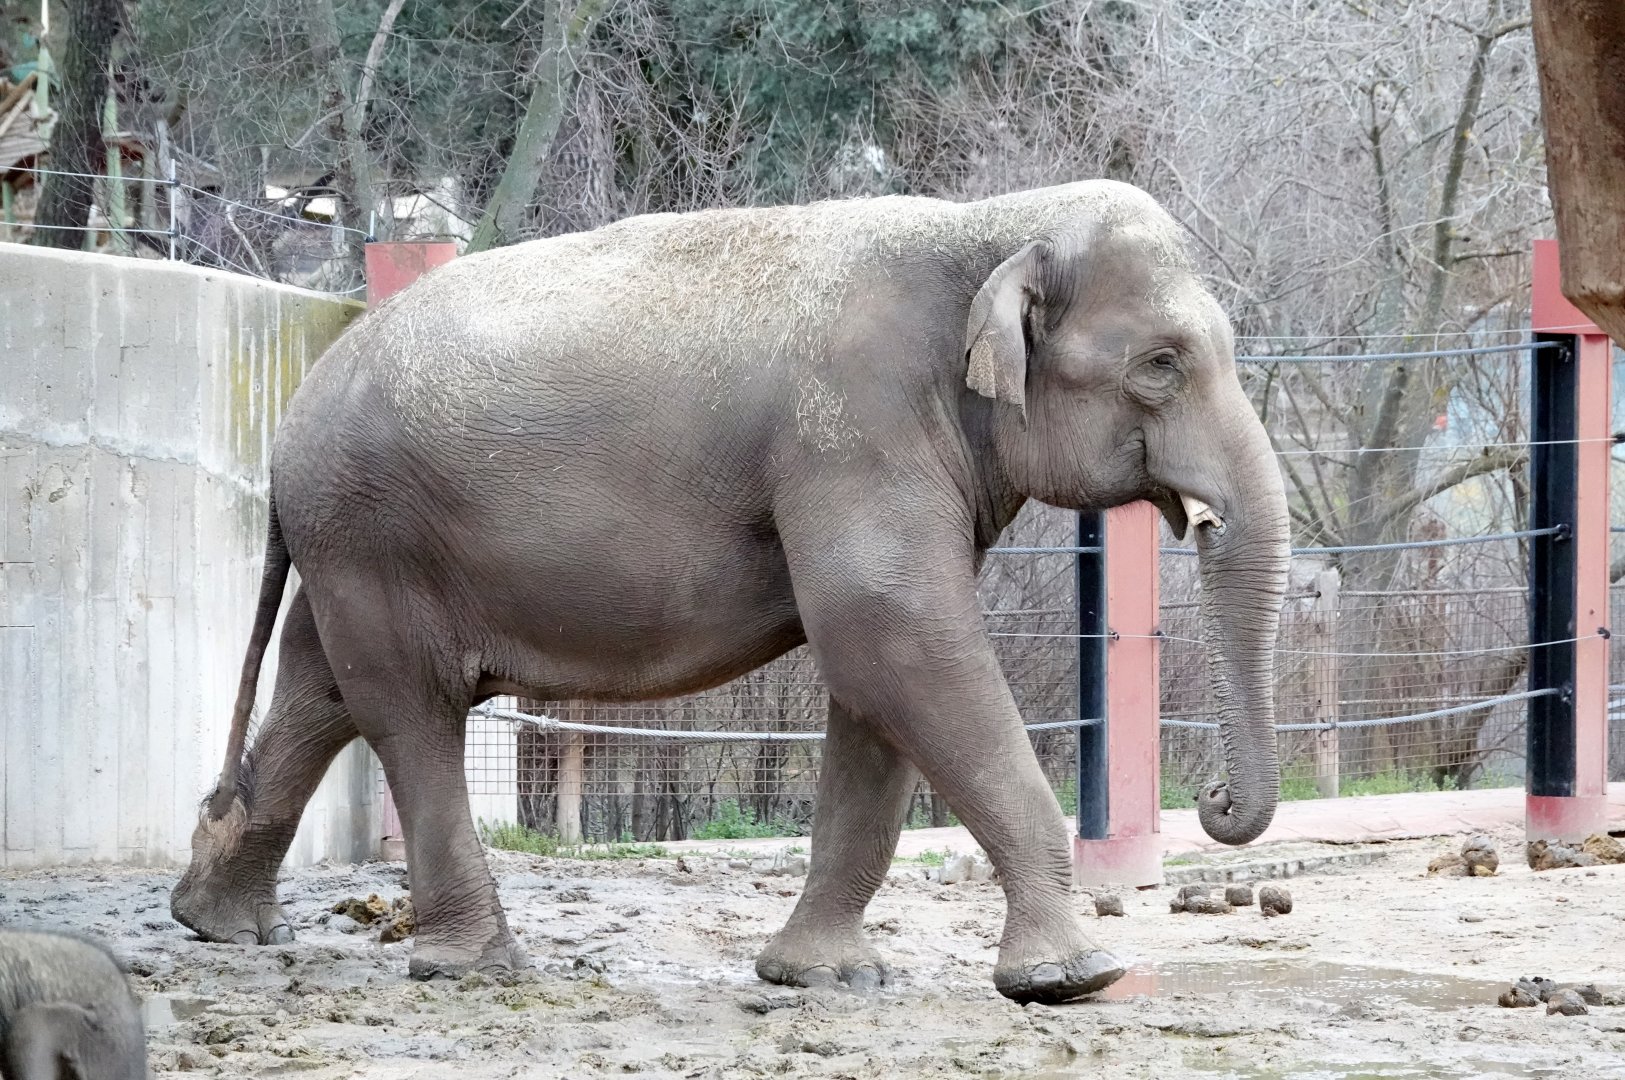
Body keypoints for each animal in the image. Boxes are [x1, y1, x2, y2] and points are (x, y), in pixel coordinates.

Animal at [171, 179, 1289, 1004]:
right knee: (407, 709)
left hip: (352, 540)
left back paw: (214, 921)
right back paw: (472, 968)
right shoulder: (855, 424)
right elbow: (892, 637)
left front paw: (821, 979)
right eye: (1160, 364)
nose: (1215, 803)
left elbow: (877, 675)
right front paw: (1072, 979)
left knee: (321, 692)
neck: (987, 222)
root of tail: (293, 413)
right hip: (372, 529)